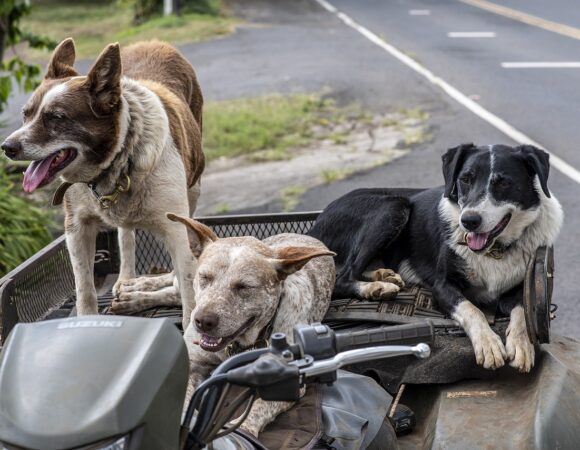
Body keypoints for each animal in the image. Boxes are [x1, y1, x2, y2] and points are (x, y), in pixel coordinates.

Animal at [0, 37, 205, 322]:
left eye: (56, 117)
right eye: (26, 114)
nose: (7, 147)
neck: (116, 161)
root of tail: (154, 42)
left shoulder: (177, 230)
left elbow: (188, 294)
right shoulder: (77, 228)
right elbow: (85, 289)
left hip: (194, 187)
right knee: (126, 233)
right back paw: (128, 281)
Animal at [165, 213, 336, 438]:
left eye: (243, 286)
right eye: (204, 277)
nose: (203, 321)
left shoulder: (287, 379)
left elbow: (258, 408)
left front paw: (243, 431)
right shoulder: (193, 362)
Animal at [310, 144, 564, 372]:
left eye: (503, 183)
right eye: (465, 179)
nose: (468, 221)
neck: (494, 250)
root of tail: (315, 226)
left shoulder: (522, 287)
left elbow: (522, 311)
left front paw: (522, 345)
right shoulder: (442, 287)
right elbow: (472, 309)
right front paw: (488, 344)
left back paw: (384, 276)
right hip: (393, 206)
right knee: (341, 277)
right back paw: (376, 288)